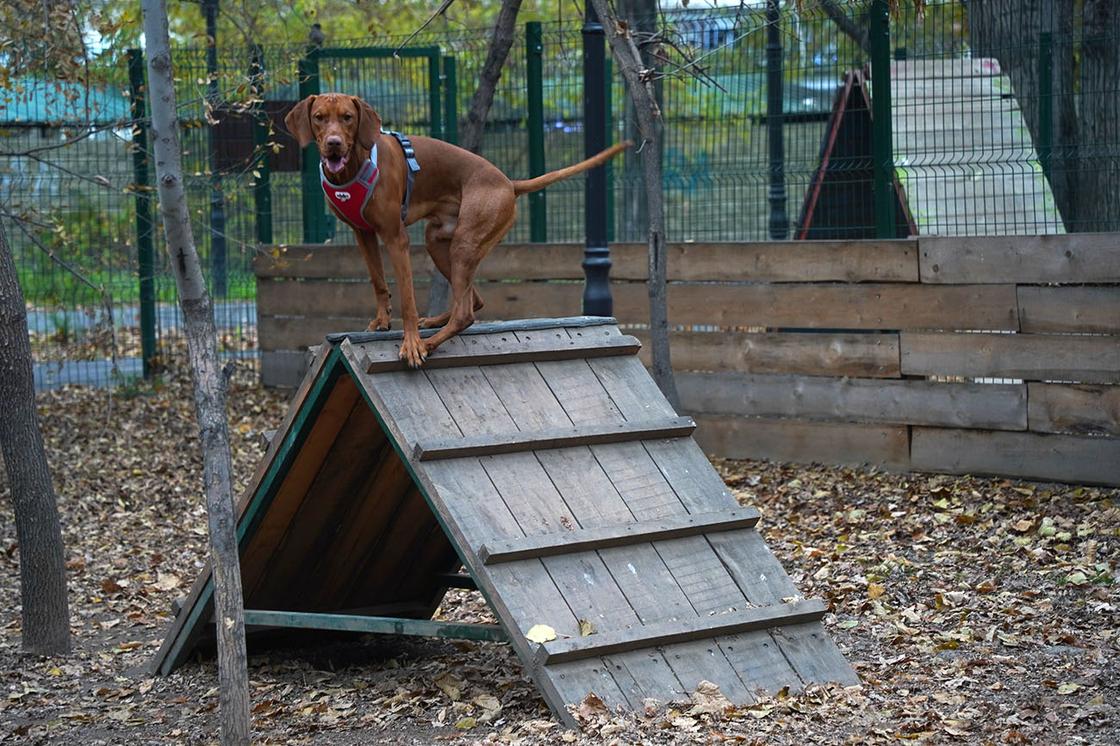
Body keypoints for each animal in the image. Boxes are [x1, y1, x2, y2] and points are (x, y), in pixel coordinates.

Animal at [282, 94, 631, 367]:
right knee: (473, 300)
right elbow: (378, 282)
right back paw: (436, 322)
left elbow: (408, 297)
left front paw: (410, 342)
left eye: (348, 118)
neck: (354, 165)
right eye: (319, 118)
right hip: (440, 242)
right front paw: (381, 321)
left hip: (464, 242)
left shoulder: (396, 238)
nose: (333, 144)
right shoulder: (363, 233)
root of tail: (509, 183)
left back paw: (428, 342)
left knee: (466, 313)